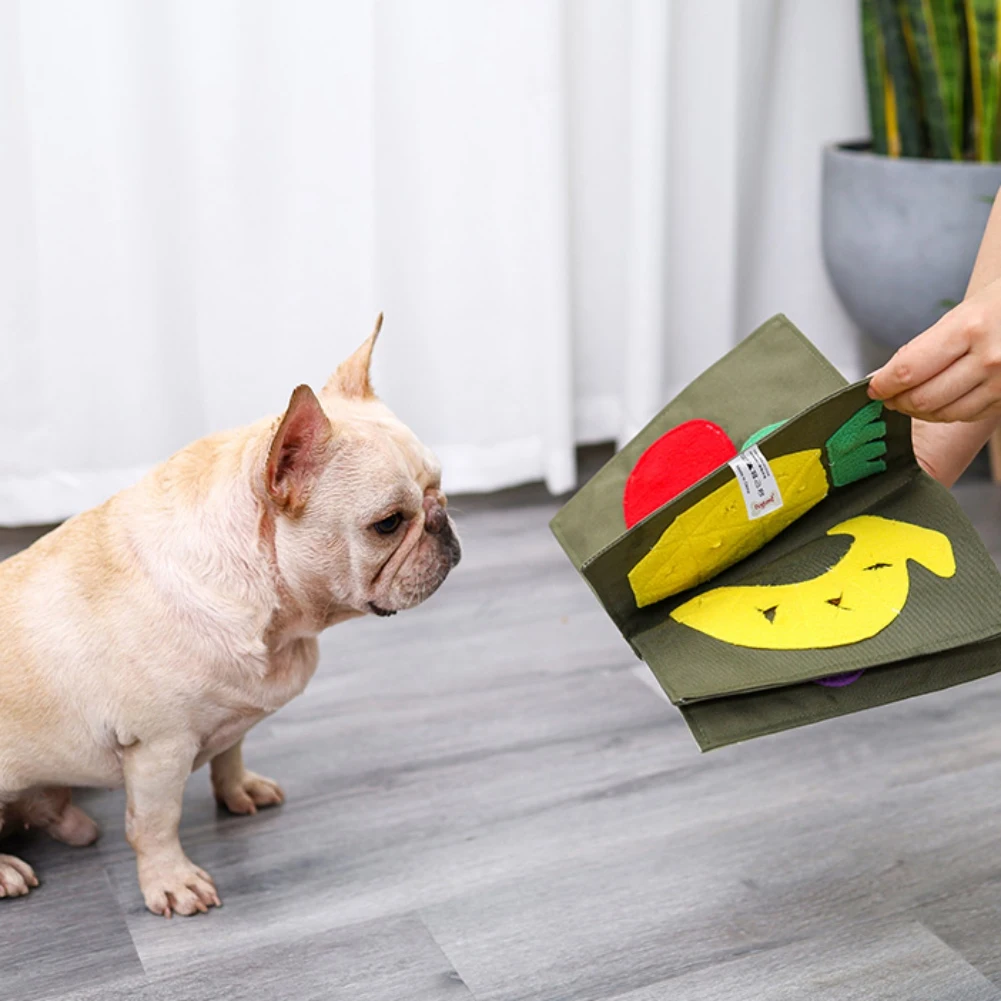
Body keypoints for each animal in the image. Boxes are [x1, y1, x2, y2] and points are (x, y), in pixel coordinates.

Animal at [0, 320, 458, 916]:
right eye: (388, 523)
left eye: (438, 485)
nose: (442, 517)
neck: (277, 618)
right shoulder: (159, 749)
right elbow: (156, 822)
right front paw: (171, 880)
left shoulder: (237, 710)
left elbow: (231, 751)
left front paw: (239, 789)